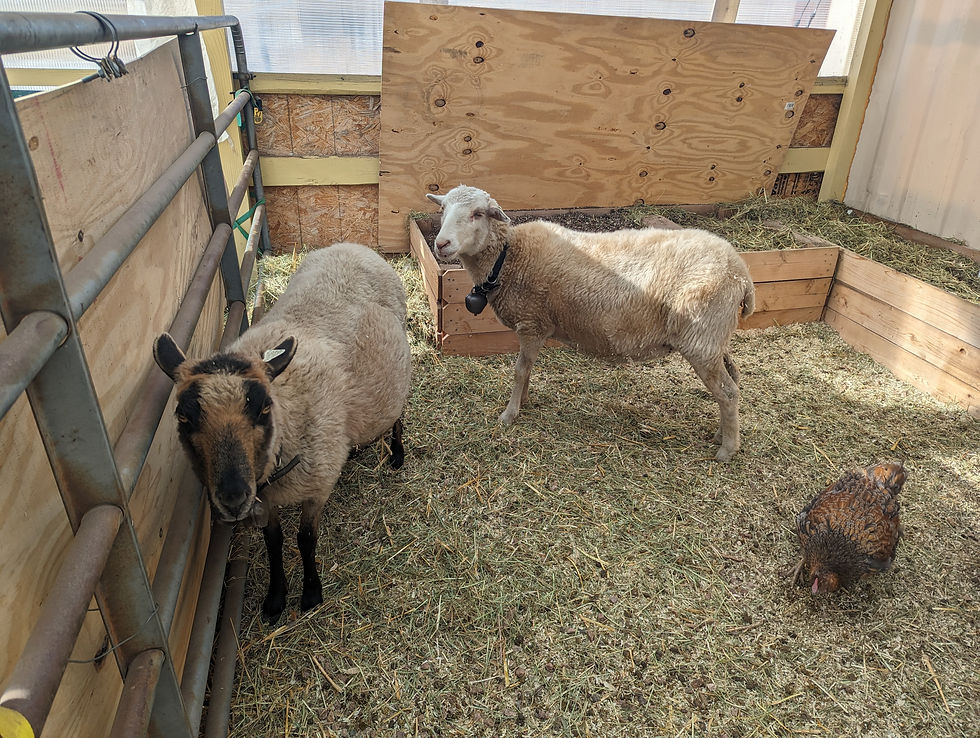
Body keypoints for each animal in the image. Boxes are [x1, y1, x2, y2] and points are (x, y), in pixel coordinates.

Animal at [153, 242, 412, 622]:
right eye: (183, 417)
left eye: (264, 408)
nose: (233, 497)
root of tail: (353, 245)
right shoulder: (268, 498)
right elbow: (273, 541)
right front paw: (275, 597)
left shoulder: (317, 486)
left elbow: (306, 539)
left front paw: (311, 593)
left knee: (397, 410)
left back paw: (397, 452)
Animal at [426, 185, 755, 461]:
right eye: (443, 210)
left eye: (478, 213)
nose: (441, 244)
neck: (508, 256)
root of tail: (742, 274)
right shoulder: (537, 325)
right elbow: (528, 369)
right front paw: (524, 402)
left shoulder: (531, 322)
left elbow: (519, 371)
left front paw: (509, 414)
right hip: (715, 337)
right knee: (733, 380)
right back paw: (721, 434)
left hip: (701, 338)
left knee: (727, 392)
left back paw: (727, 449)